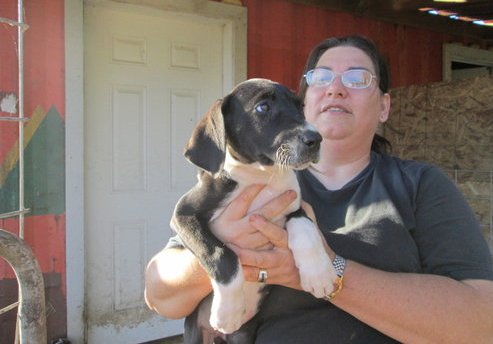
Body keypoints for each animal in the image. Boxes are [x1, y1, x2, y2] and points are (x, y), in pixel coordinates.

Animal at [171, 79, 336, 342]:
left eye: (300, 106)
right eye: (263, 107)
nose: (316, 139)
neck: (262, 175)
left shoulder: (295, 206)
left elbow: (307, 229)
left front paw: (319, 274)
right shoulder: (183, 214)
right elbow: (221, 254)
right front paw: (227, 311)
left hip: (243, 335)